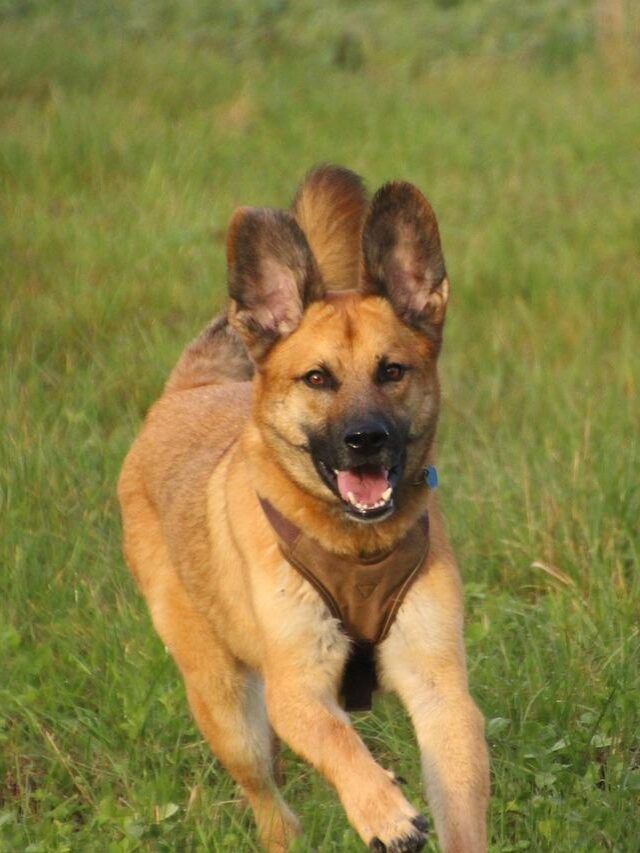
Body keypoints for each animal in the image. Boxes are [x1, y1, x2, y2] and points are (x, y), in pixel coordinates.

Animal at [119, 163, 490, 848]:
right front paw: (384, 810)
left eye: (392, 371)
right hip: (226, 705)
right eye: (317, 378)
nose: (366, 440)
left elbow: (459, 800)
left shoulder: (441, 689)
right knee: (269, 802)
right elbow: (341, 746)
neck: (358, 549)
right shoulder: (296, 689)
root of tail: (189, 389)